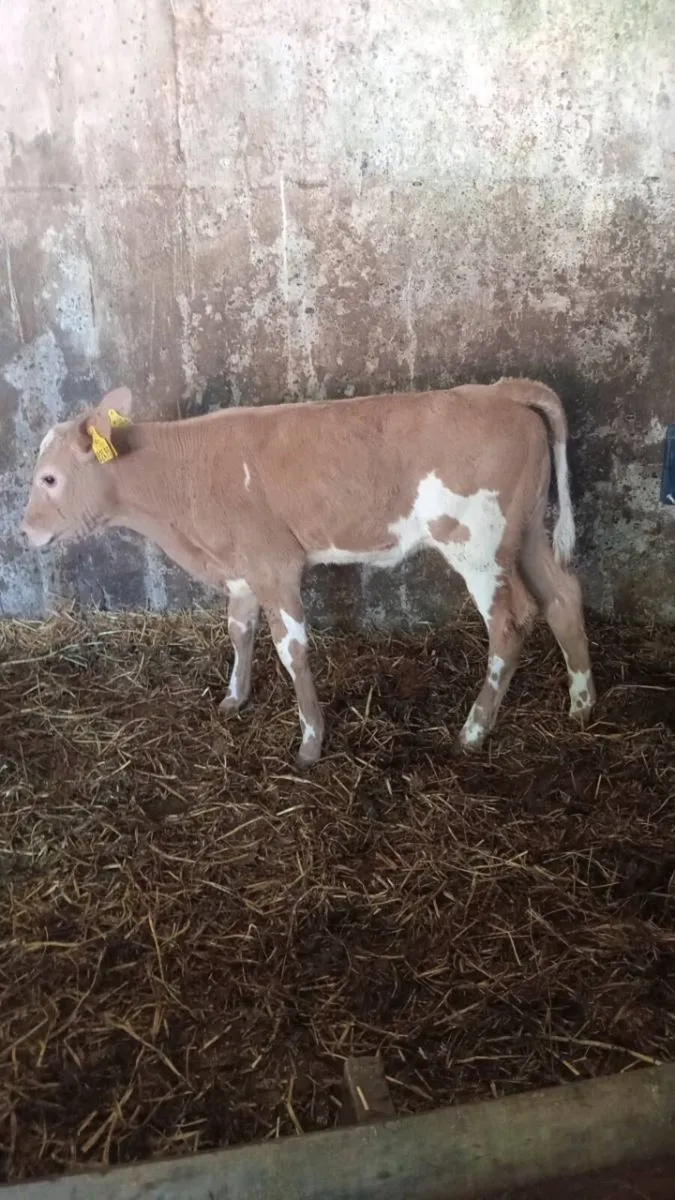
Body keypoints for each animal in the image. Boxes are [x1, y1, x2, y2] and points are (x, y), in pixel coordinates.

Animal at [21, 379, 596, 767]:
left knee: (511, 623)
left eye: (48, 478)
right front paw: (234, 698)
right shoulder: (241, 568)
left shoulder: (274, 564)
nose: (25, 532)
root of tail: (499, 391)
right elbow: (239, 630)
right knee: (563, 595)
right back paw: (582, 702)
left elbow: (292, 650)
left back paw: (474, 730)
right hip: (526, 530)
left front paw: (310, 742)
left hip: (476, 543)